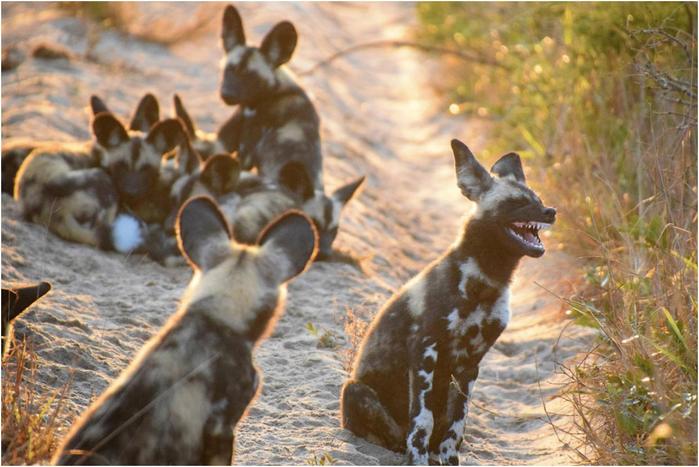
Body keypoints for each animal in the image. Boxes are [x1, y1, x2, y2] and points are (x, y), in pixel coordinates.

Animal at [340, 139, 556, 464]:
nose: (551, 211)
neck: (487, 280)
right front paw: (417, 460)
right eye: (516, 203)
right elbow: (422, 421)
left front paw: (449, 460)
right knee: (398, 435)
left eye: (538, 199)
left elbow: (457, 425)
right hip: (354, 390)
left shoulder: (470, 364)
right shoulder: (425, 351)